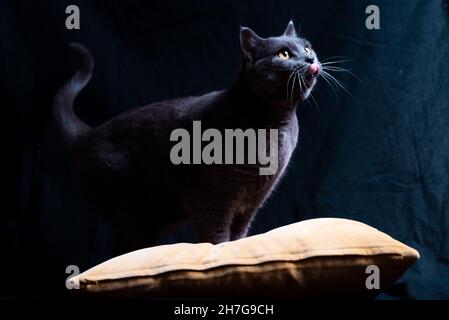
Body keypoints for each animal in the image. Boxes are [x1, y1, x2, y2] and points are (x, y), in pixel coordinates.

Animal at [54, 21, 318, 254]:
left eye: (307, 48)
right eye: (284, 54)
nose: (310, 60)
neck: (275, 125)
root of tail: (87, 134)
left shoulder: (251, 204)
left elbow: (238, 236)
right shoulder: (212, 198)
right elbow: (216, 235)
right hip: (129, 213)